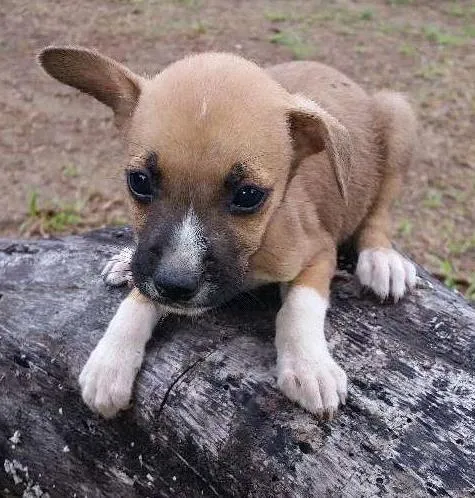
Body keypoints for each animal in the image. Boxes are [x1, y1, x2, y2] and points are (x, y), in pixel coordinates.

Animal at [39, 47, 418, 420]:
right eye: (139, 181)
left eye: (248, 195)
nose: (174, 286)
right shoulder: (151, 268)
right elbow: (139, 296)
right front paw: (110, 361)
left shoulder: (318, 250)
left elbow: (300, 307)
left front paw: (309, 365)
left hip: (399, 119)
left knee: (378, 213)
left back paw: (382, 260)